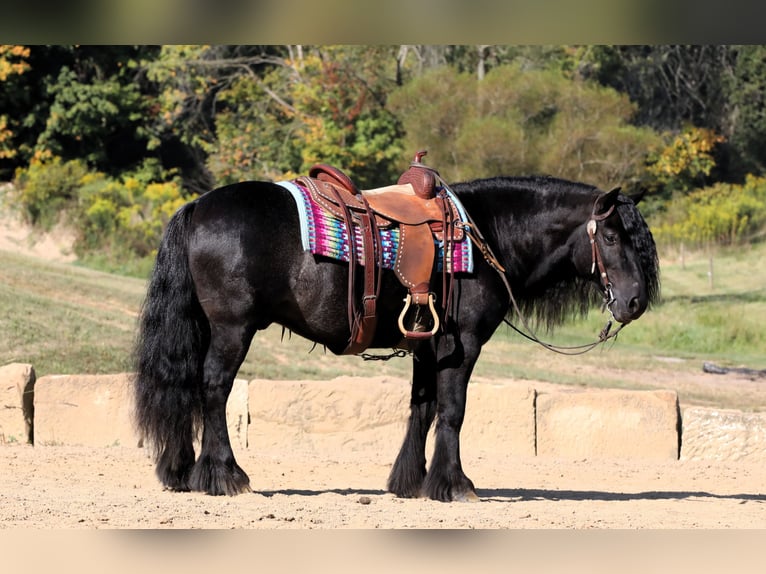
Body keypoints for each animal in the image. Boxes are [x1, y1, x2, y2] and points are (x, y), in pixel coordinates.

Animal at [132, 176, 660, 504]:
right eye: (611, 237)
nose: (635, 301)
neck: (486, 234)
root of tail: (197, 207)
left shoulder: (427, 347)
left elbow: (421, 408)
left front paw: (410, 481)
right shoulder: (462, 346)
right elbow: (452, 411)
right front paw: (454, 484)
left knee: (186, 387)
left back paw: (181, 471)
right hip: (232, 328)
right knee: (213, 389)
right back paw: (224, 474)